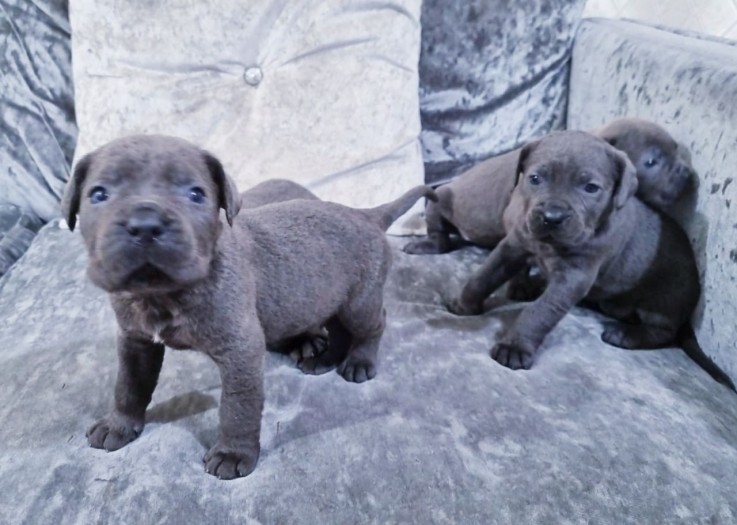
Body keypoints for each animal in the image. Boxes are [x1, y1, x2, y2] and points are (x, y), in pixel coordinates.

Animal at [61, 135, 436, 478]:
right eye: (99, 194)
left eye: (196, 194)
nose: (145, 224)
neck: (161, 295)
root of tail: (367, 214)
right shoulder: (135, 341)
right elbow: (128, 386)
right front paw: (119, 425)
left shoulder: (240, 350)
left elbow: (238, 407)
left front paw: (233, 454)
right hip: (331, 299)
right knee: (338, 330)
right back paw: (325, 360)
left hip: (360, 301)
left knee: (373, 325)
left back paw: (359, 363)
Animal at [406, 116, 692, 254]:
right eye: (652, 161)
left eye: (676, 149)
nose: (688, 173)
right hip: (440, 198)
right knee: (439, 235)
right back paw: (426, 245)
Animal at [446, 131, 728, 384]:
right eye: (535, 178)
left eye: (591, 188)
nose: (552, 217)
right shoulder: (514, 246)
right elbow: (483, 275)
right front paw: (464, 305)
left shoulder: (574, 277)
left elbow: (540, 311)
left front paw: (515, 346)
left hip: (665, 299)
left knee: (665, 332)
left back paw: (625, 334)